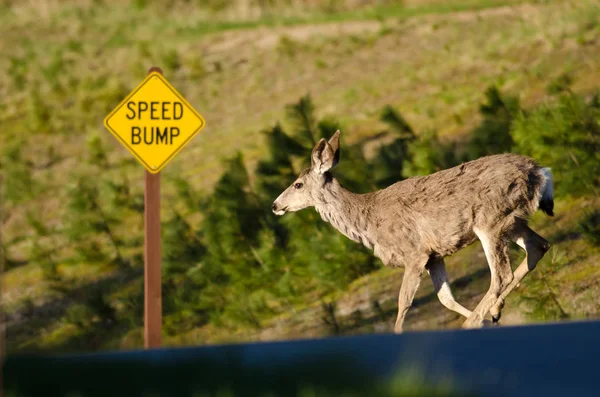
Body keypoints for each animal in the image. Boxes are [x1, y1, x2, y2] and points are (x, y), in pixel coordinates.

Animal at [272, 130, 552, 332]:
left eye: (297, 184)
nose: (275, 205)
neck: (367, 220)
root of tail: (539, 172)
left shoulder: (414, 254)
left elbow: (402, 305)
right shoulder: (434, 255)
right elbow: (445, 299)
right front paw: (487, 320)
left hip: (489, 219)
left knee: (501, 274)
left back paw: (474, 319)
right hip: (511, 220)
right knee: (539, 246)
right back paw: (491, 312)